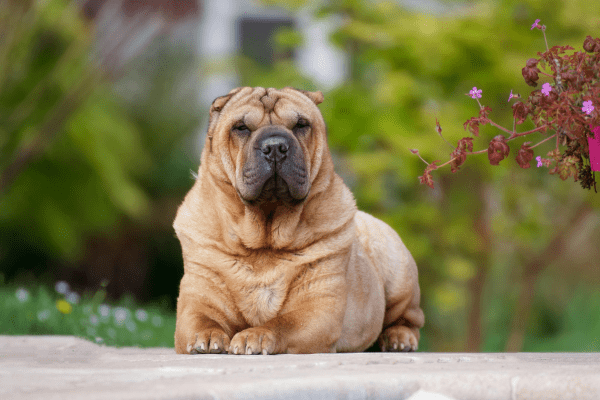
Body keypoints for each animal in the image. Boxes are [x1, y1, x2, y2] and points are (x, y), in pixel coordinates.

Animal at [175, 86, 426, 354]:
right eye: (241, 127)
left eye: (300, 125)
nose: (275, 146)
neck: (264, 241)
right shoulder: (198, 300)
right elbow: (202, 319)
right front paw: (208, 337)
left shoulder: (317, 308)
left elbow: (282, 323)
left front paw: (255, 336)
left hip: (399, 273)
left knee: (408, 318)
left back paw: (398, 339)